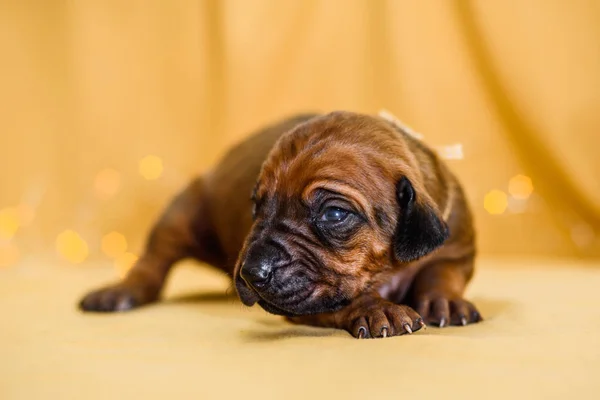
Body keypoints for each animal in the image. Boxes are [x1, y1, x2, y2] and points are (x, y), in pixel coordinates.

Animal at [81, 111, 482, 340]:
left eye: (334, 214)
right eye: (257, 206)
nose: (249, 273)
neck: (386, 270)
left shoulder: (456, 246)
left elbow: (441, 272)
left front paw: (445, 301)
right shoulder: (307, 299)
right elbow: (343, 299)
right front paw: (375, 307)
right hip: (181, 212)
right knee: (152, 262)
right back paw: (119, 292)